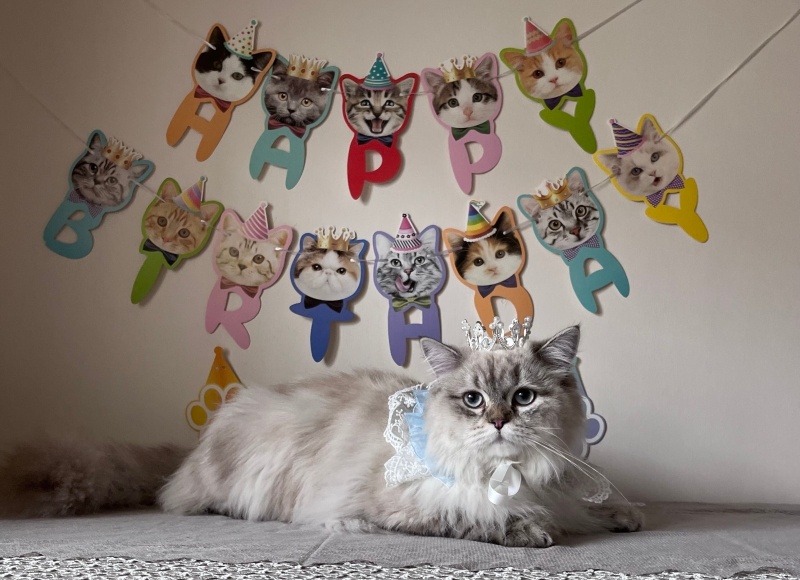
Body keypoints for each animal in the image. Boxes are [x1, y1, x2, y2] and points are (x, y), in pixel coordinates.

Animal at [0, 328, 640, 548]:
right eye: (474, 401)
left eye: (525, 397)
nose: (500, 421)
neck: (515, 477)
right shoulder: (398, 505)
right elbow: (479, 517)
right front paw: (535, 531)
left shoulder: (564, 484)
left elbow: (595, 504)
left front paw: (621, 517)